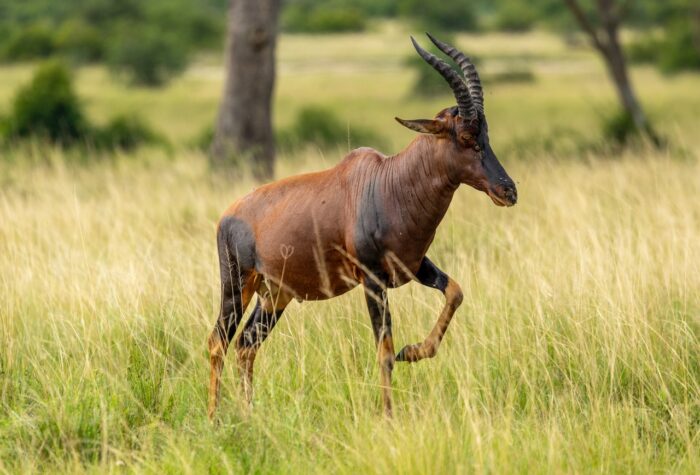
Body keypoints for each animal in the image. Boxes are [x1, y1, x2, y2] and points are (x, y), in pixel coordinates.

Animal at [208, 34, 517, 418]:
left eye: (486, 133)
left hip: (276, 296)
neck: (390, 182)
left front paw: (413, 352)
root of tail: (227, 215)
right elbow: (383, 352)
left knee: (247, 345)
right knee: (218, 342)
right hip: (237, 286)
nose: (508, 191)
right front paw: (388, 415)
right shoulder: (372, 280)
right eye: (465, 137)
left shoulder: (415, 267)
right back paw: (214, 418)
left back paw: (249, 413)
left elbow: (455, 292)